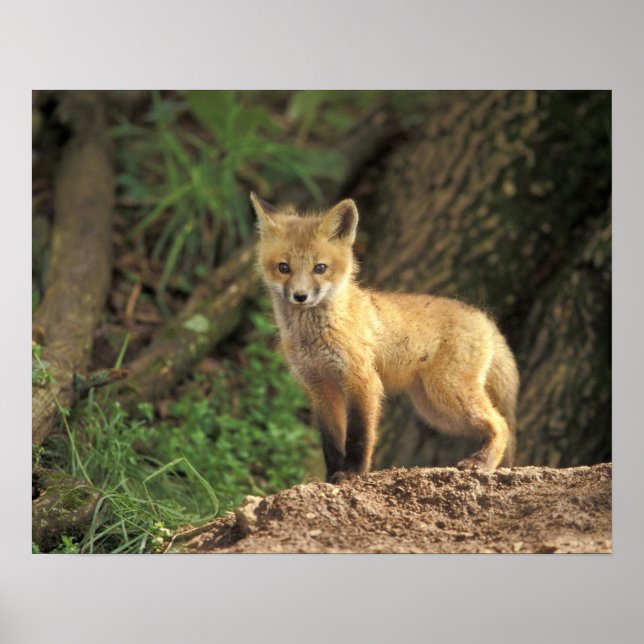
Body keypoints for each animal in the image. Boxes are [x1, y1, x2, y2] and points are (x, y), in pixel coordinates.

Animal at [250, 192, 519, 483]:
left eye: (320, 268)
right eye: (284, 267)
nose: (300, 296)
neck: (315, 337)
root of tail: (483, 316)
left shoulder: (363, 381)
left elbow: (359, 436)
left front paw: (353, 473)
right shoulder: (321, 390)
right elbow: (331, 443)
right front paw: (332, 477)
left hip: (447, 393)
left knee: (502, 424)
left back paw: (482, 463)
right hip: (435, 411)